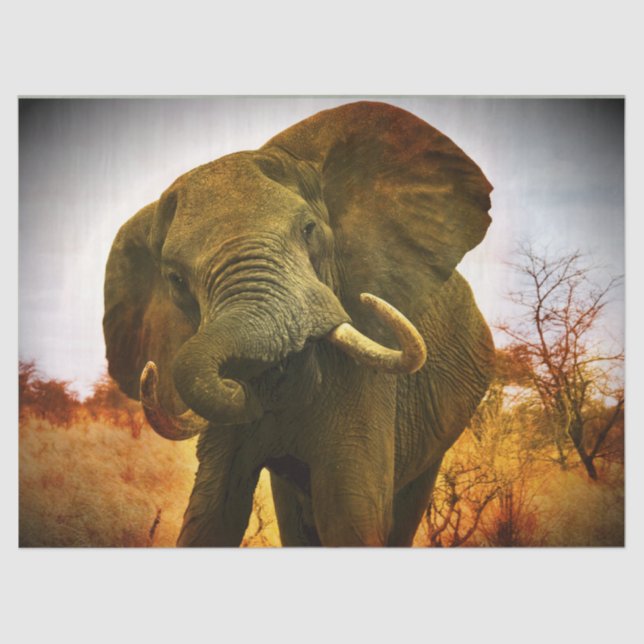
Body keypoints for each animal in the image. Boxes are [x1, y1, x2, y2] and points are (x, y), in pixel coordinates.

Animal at [103, 101, 495, 547]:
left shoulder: (367, 380)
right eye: (176, 279)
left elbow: (349, 512)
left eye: (308, 230)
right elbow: (211, 512)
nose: (252, 391)